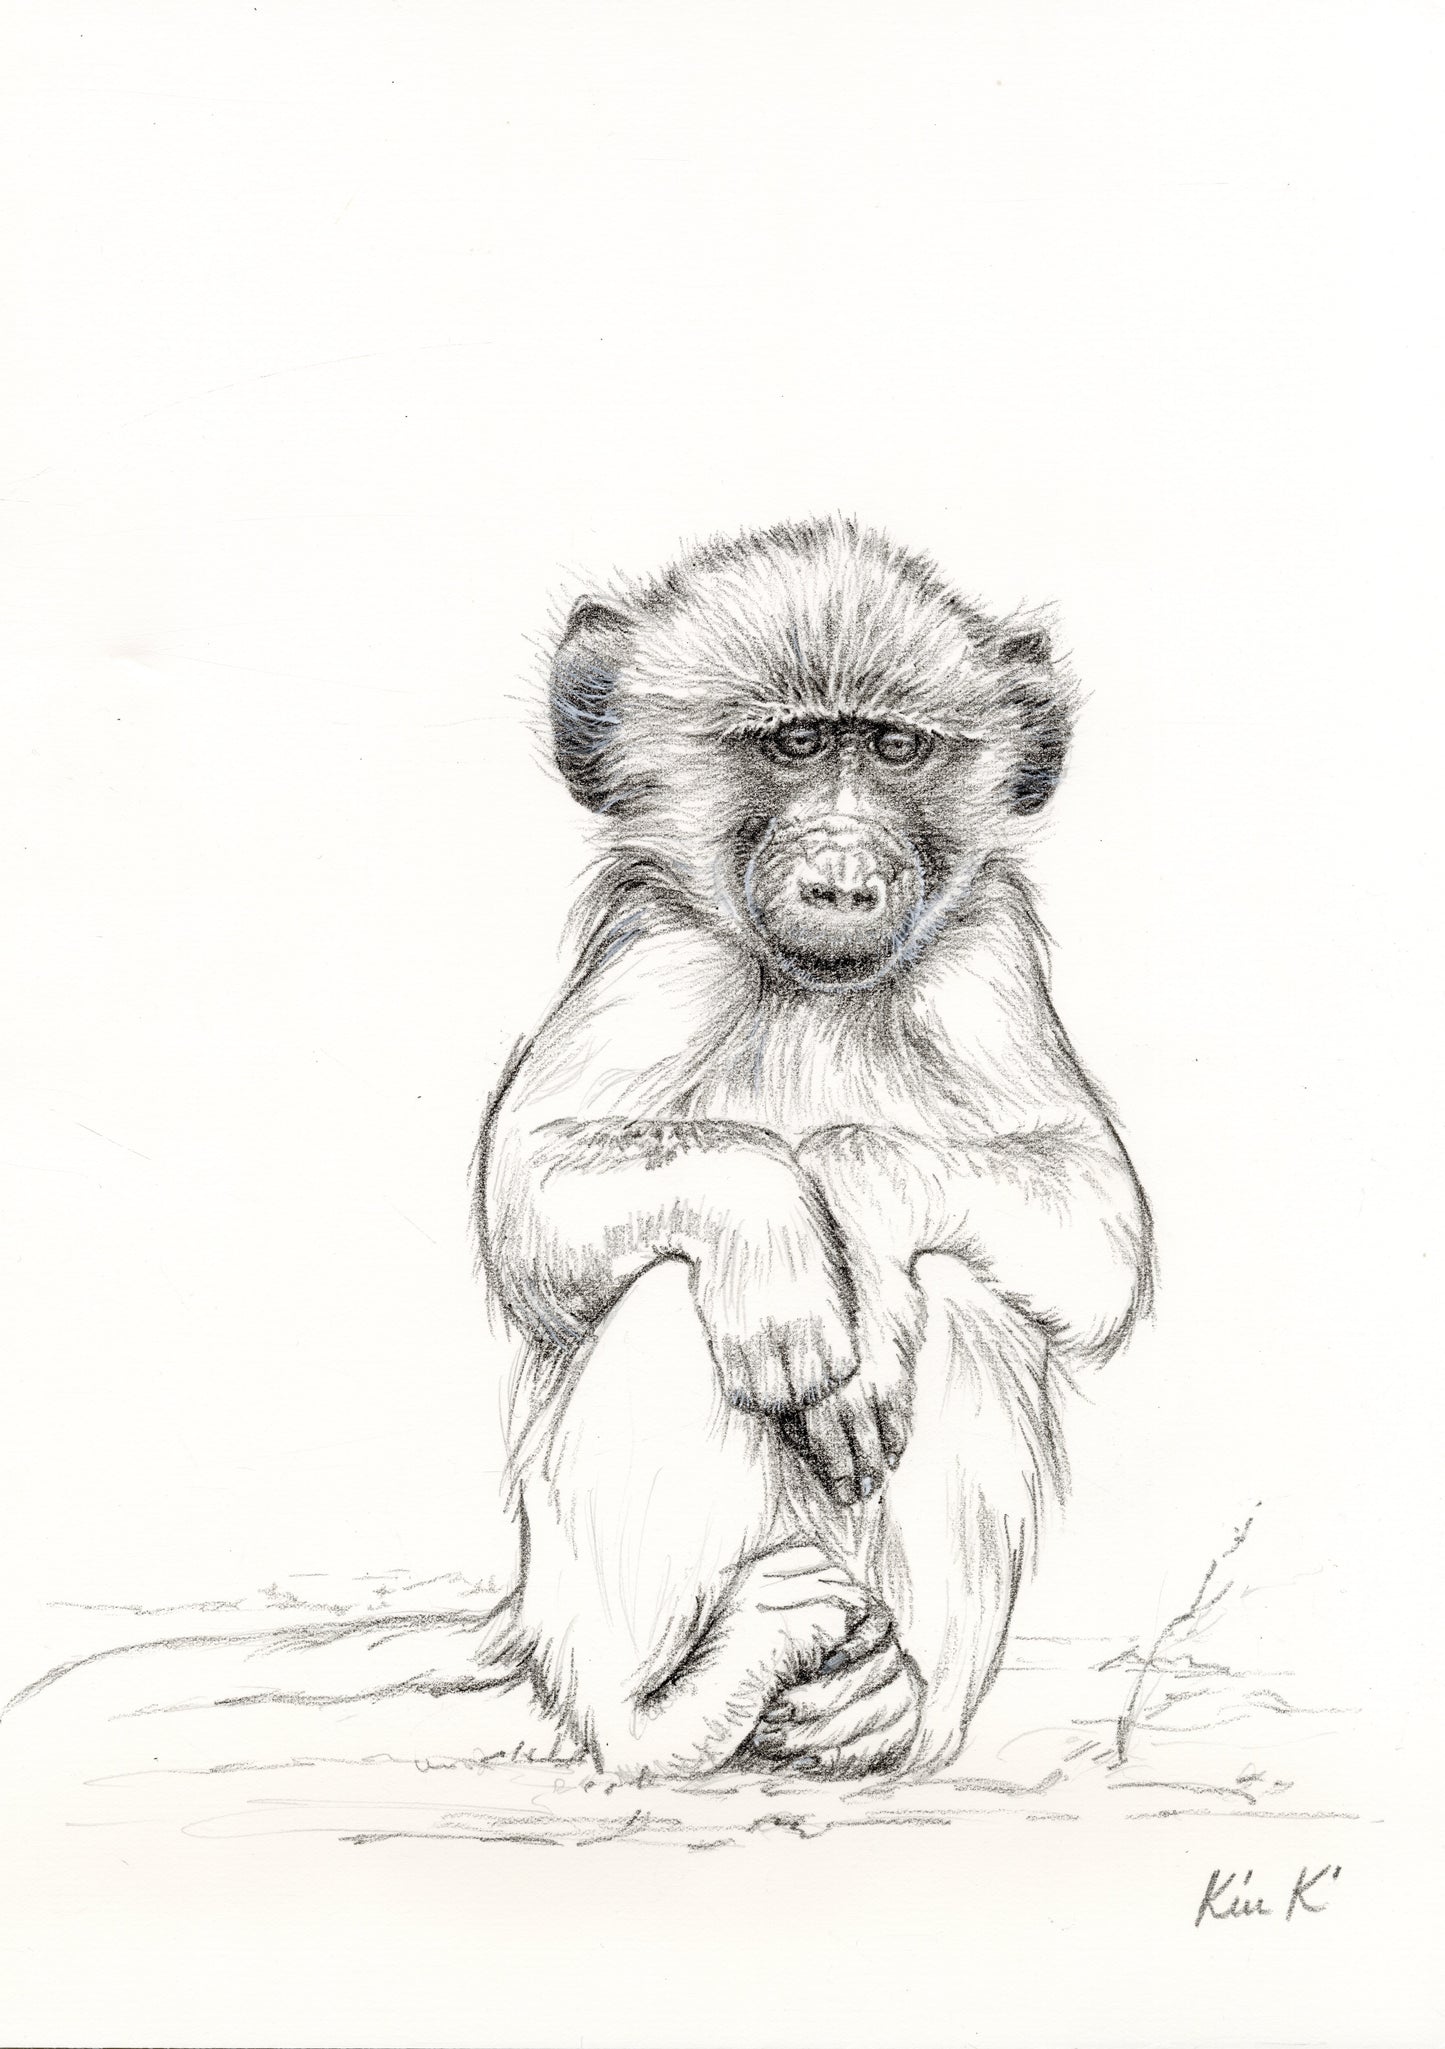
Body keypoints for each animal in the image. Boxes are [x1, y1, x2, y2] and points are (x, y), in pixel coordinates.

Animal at [476, 516, 1153, 1782]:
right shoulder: (663, 952)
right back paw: (674, 1714)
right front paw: (778, 1229)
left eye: (891, 747)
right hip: (572, 1622)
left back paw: (887, 1715)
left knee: (961, 1292)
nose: (841, 877)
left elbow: (1100, 1226)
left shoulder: (983, 955)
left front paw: (848, 1191)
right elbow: (528, 1195)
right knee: (674, 1293)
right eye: (792, 744)